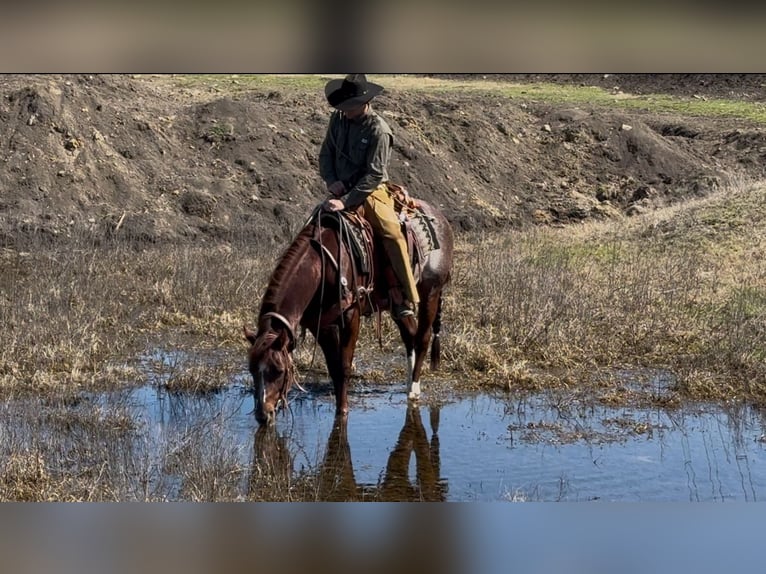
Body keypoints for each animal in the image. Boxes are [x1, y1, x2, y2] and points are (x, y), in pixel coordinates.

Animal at [243, 198, 452, 428]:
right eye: (251, 369)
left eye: (278, 370)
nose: (263, 415)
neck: (322, 264)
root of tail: (441, 219)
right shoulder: (321, 325)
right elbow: (334, 367)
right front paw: (339, 408)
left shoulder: (351, 316)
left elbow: (344, 366)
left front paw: (343, 412)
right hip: (397, 304)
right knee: (410, 334)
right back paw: (408, 383)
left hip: (431, 292)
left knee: (422, 337)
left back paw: (414, 389)